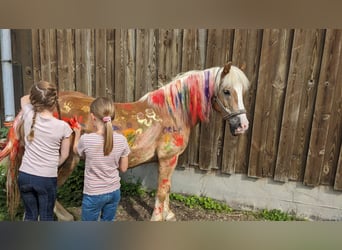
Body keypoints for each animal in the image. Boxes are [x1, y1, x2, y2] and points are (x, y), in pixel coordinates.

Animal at [0, 62, 251, 221]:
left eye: (242, 92)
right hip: (65, 161)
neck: (172, 111)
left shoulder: (169, 161)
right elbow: (162, 190)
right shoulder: (168, 159)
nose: (243, 125)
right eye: (226, 91)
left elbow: (167, 188)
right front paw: (158, 217)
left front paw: (168, 214)